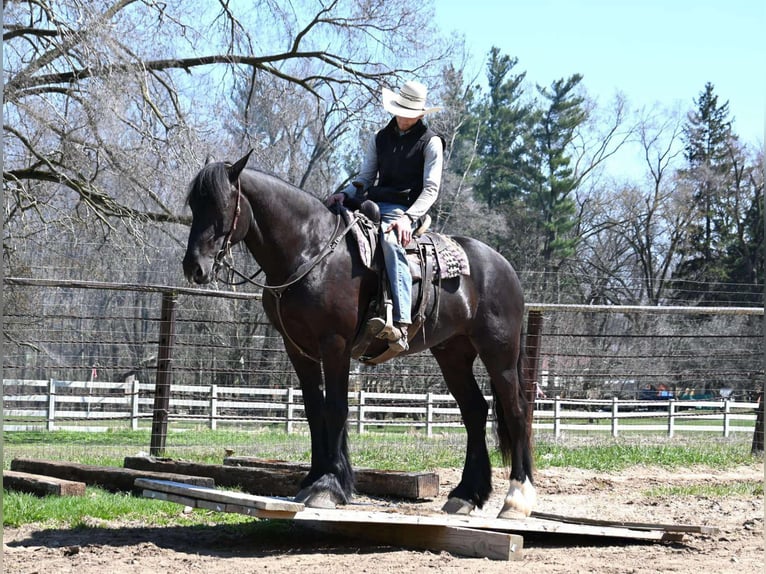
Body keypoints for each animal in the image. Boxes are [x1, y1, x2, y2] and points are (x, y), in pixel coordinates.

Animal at [182, 151, 536, 517]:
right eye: (194, 204)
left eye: (222, 205)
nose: (194, 267)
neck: (311, 251)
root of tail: (502, 265)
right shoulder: (298, 349)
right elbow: (314, 410)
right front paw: (313, 479)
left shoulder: (334, 344)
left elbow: (336, 408)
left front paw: (329, 487)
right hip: (453, 353)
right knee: (475, 412)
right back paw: (466, 495)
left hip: (499, 351)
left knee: (517, 412)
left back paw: (516, 499)